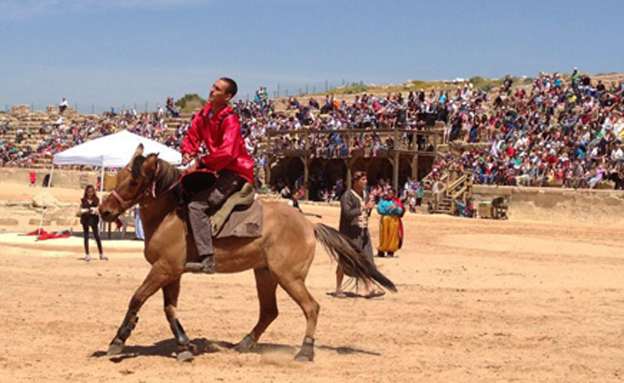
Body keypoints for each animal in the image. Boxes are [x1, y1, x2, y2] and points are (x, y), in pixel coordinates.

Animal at [100, 146, 398, 364]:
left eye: (134, 180)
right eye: (120, 175)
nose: (104, 211)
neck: (171, 215)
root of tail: (309, 225)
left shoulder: (163, 269)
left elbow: (137, 297)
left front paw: (118, 340)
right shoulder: (172, 273)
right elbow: (169, 308)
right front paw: (184, 345)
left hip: (289, 277)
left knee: (311, 308)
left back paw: (305, 351)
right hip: (265, 274)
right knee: (269, 312)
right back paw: (245, 342)